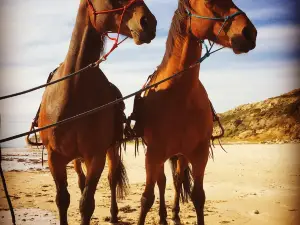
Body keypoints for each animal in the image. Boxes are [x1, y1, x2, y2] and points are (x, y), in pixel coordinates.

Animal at [37, 0, 157, 225]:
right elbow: (62, 199)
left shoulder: (96, 156)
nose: (149, 22)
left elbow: (87, 203)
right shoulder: (54, 158)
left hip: (111, 149)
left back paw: (114, 214)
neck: (72, 92)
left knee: (111, 180)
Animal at [131, 0, 258, 225]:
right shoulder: (153, 154)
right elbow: (147, 198)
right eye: (209, 3)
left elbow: (198, 196)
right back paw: (163, 217)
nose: (249, 32)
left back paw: (174, 214)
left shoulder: (200, 154)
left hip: (180, 155)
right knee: (162, 182)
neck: (179, 93)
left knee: (177, 179)